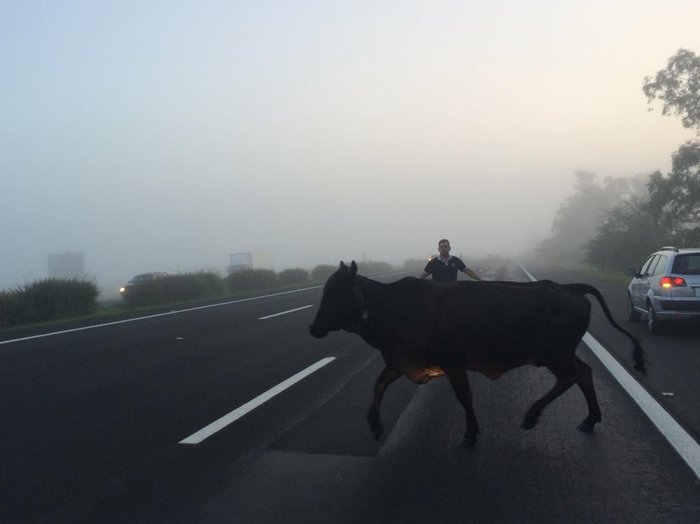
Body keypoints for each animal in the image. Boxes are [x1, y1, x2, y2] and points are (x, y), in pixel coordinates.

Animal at [308, 262, 648, 446]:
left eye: (336, 292)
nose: (313, 328)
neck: (392, 307)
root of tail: (569, 287)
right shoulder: (399, 361)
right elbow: (378, 385)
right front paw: (375, 424)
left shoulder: (452, 362)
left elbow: (464, 397)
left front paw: (470, 434)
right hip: (561, 351)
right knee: (584, 373)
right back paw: (589, 419)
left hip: (553, 353)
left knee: (570, 377)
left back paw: (531, 415)